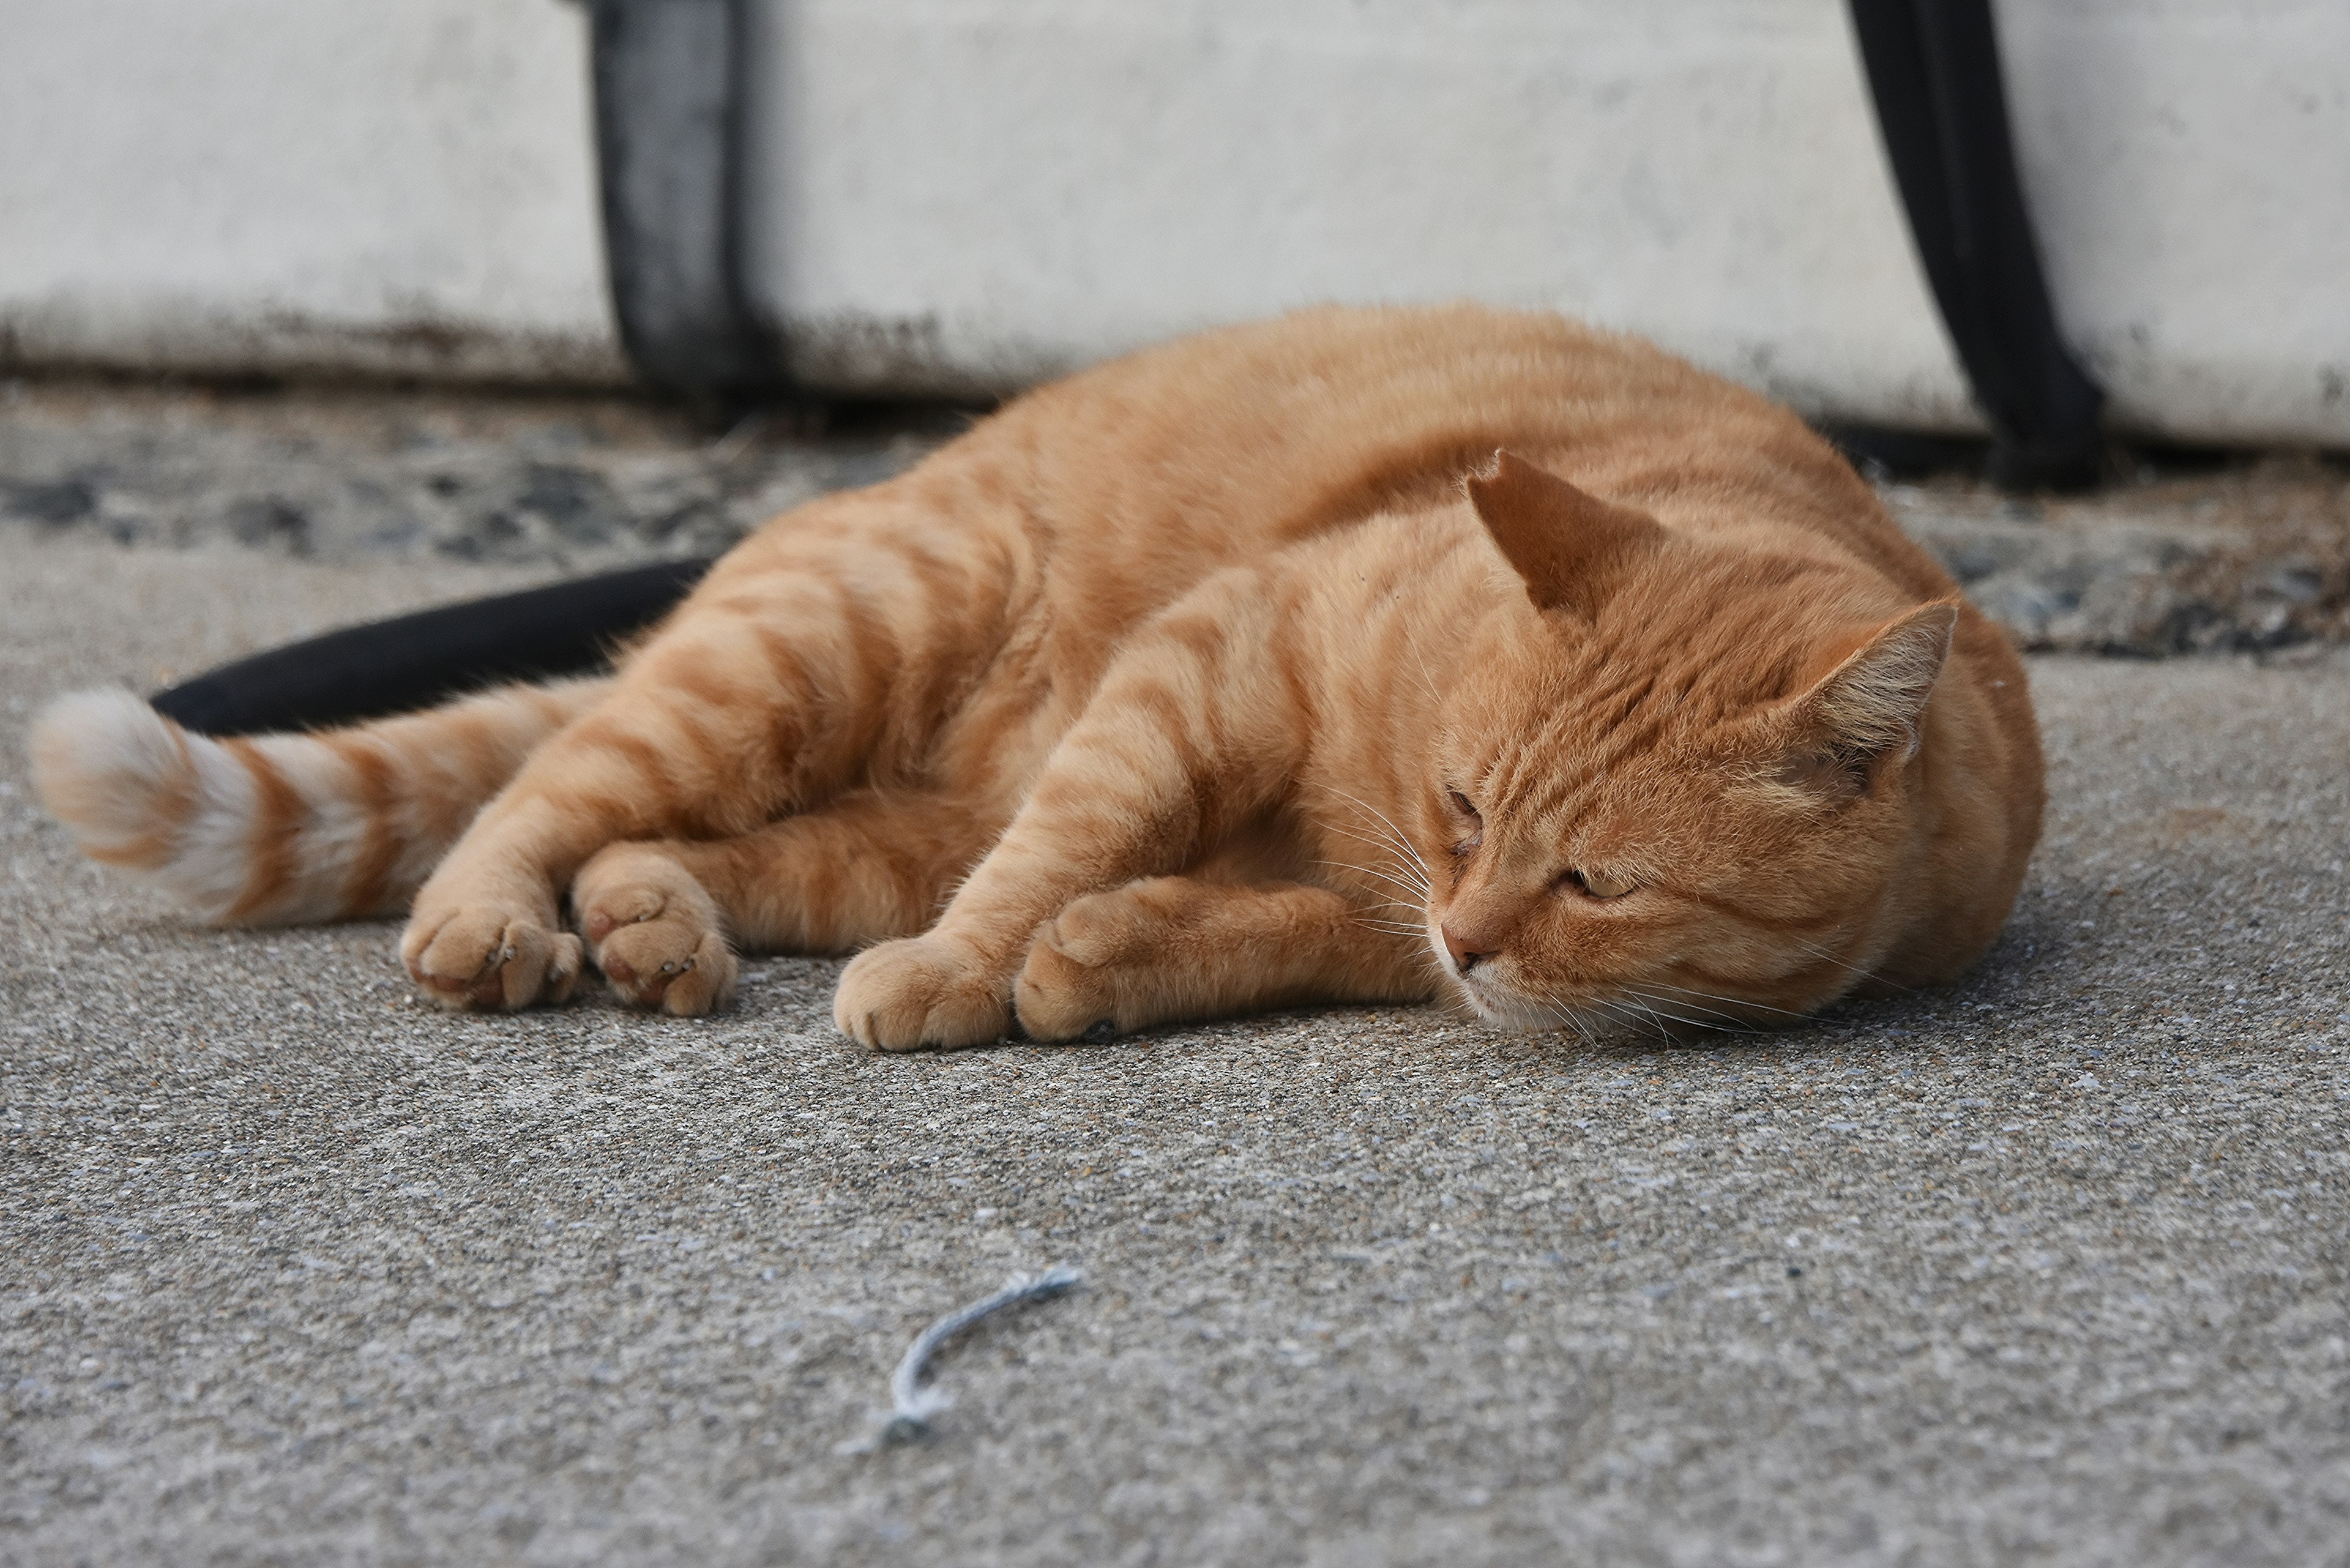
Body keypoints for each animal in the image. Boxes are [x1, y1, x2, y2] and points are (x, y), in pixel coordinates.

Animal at [28, 305, 2040, 1048]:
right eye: (1465, 806)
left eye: (1597, 882)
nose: (1477, 924)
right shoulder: (1215, 658)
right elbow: (1079, 840)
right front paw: (975, 973)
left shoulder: (1380, 900)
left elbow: (1316, 929)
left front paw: (1118, 957)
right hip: (837, 630)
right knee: (551, 784)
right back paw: (501, 919)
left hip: (868, 815)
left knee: (712, 843)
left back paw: (657, 925)